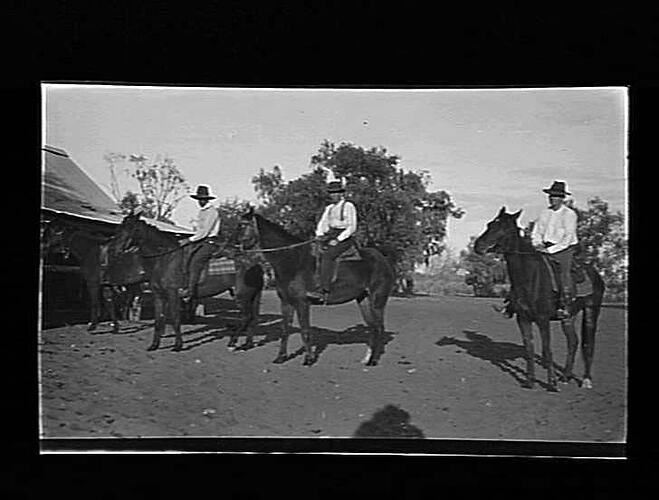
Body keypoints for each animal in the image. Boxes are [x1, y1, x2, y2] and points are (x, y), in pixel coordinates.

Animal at [113, 212, 262, 352]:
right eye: (120, 227)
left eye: (131, 228)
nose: (116, 248)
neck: (165, 259)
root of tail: (254, 263)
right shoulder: (159, 295)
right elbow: (158, 320)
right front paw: (154, 345)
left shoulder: (173, 294)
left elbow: (175, 318)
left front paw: (178, 346)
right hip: (250, 296)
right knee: (252, 319)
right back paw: (247, 344)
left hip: (242, 296)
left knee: (247, 317)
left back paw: (232, 343)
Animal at [236, 205, 394, 366]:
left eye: (242, 225)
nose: (237, 248)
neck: (292, 261)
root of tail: (382, 259)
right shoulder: (286, 302)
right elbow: (285, 330)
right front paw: (281, 357)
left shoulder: (302, 302)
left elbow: (305, 330)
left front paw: (309, 359)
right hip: (363, 299)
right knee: (372, 327)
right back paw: (367, 358)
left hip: (377, 299)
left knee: (379, 327)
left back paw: (373, 360)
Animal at [474, 207, 608, 390]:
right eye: (489, 224)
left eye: (504, 228)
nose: (478, 246)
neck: (530, 277)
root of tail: (595, 274)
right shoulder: (523, 319)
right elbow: (529, 347)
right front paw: (530, 380)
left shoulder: (543, 319)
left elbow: (547, 348)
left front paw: (551, 383)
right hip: (568, 316)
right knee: (573, 342)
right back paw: (565, 377)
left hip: (591, 310)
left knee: (588, 344)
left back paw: (586, 380)